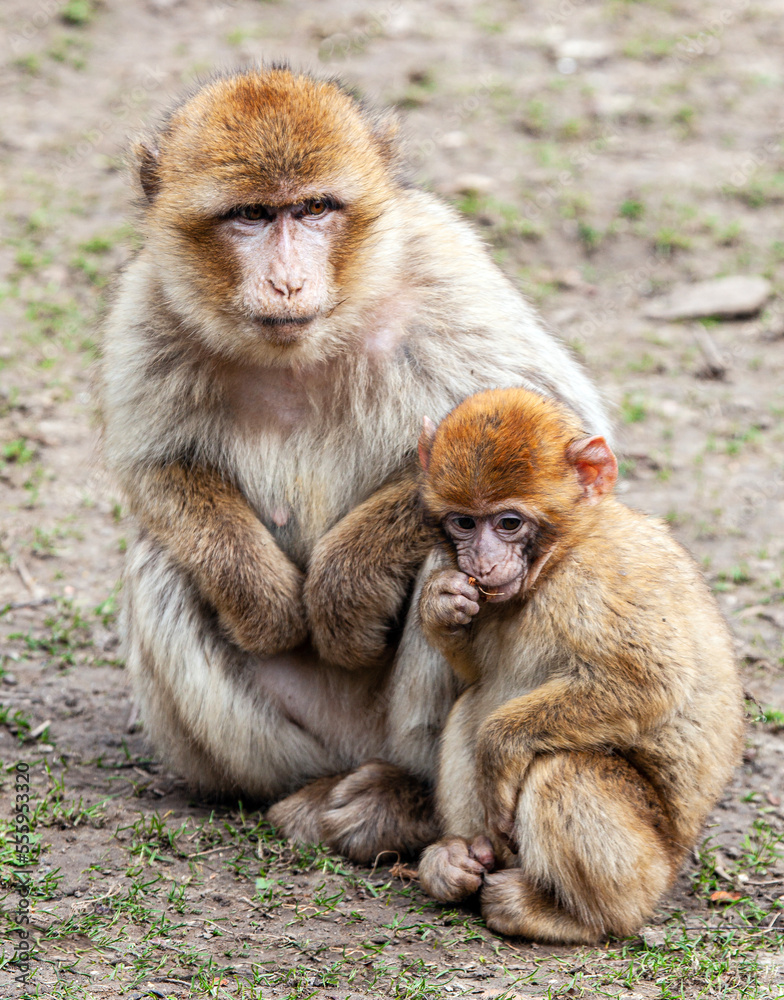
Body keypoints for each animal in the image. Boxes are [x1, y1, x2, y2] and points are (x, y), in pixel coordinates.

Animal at [100, 65, 611, 863]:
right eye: (250, 215)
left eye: (314, 208)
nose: (285, 282)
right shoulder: (149, 306)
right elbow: (152, 466)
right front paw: (265, 602)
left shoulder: (442, 268)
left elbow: (559, 424)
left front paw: (343, 590)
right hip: (299, 730)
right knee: (161, 562)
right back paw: (304, 795)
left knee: (445, 559)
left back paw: (406, 803)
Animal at [415, 387, 744, 943]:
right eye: (464, 522)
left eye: (508, 523)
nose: (480, 562)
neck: (561, 557)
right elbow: (476, 674)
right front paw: (440, 603)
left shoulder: (600, 580)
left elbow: (649, 683)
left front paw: (500, 748)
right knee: (471, 706)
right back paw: (458, 861)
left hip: (648, 866)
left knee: (565, 769)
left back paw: (573, 916)